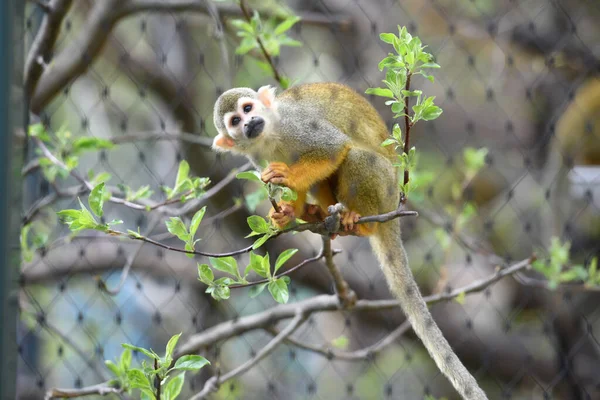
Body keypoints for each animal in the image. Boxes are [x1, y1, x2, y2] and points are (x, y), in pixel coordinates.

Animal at [211, 83, 488, 398]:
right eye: (234, 122)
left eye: (248, 109)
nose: (249, 123)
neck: (269, 136)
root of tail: (395, 205)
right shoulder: (256, 158)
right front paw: (286, 213)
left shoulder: (296, 124)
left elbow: (334, 148)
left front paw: (288, 176)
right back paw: (317, 214)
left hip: (385, 189)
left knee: (356, 156)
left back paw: (357, 221)